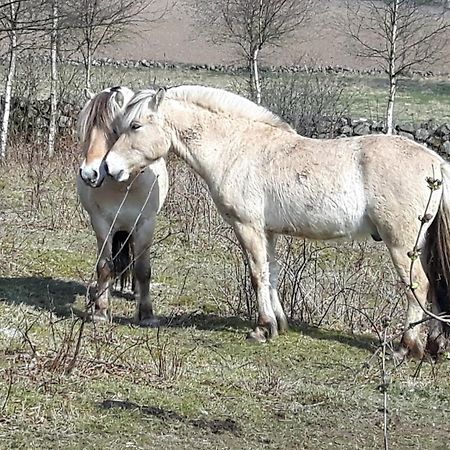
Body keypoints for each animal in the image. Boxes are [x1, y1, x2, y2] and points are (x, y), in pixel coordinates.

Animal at [77, 86, 169, 326]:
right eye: (86, 130)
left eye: (114, 129)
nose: (89, 174)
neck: (126, 184)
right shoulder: (102, 224)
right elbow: (105, 267)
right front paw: (100, 311)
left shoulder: (145, 224)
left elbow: (143, 268)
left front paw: (147, 314)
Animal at [101, 85, 450, 358]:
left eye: (135, 125)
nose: (108, 167)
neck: (235, 147)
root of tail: (436, 163)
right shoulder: (267, 232)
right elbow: (271, 274)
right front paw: (279, 324)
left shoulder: (248, 227)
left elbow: (257, 274)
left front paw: (262, 328)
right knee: (434, 286)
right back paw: (433, 347)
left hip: (402, 244)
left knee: (419, 286)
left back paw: (406, 347)